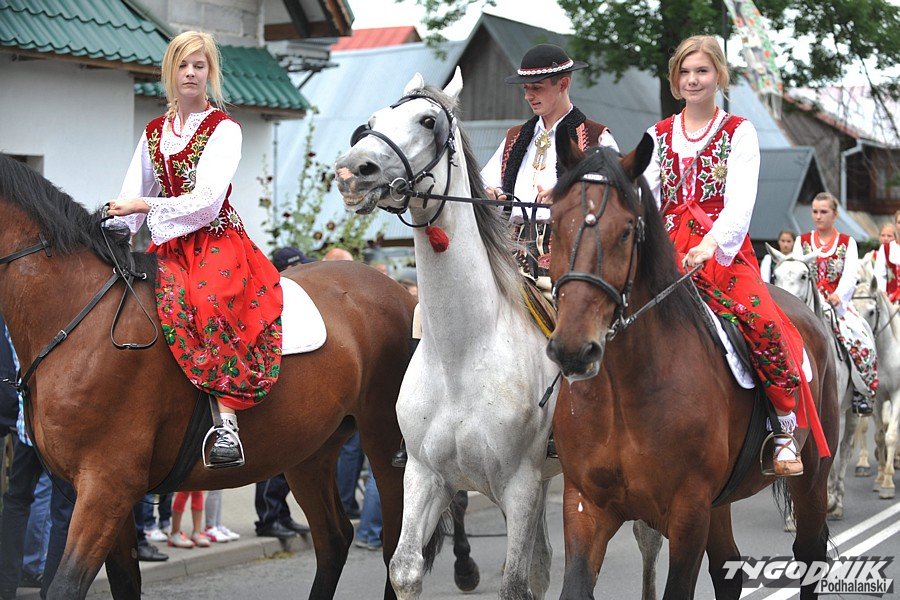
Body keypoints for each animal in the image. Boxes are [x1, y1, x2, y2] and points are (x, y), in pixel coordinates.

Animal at [0, 154, 418, 600]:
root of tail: (398, 292)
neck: (80, 320)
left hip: (383, 442)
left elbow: (66, 585)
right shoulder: (103, 495)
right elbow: (124, 580)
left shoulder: (107, 486)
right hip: (309, 451)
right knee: (334, 539)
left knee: (396, 546)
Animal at [333, 70, 663, 600]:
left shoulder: (520, 484)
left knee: (646, 540)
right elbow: (405, 568)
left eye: (428, 121)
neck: (462, 354)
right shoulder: (425, 476)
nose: (352, 172)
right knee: (546, 562)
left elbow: (515, 583)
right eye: (373, 120)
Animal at [545, 139, 838, 599]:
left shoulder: (688, 514)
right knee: (728, 568)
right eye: (555, 224)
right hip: (720, 502)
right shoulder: (585, 507)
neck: (623, 395)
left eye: (626, 231)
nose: (574, 349)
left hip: (810, 478)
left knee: (810, 553)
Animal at [767, 247, 858, 520]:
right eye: (775, 274)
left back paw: (836, 499)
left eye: (804, 275)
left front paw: (828, 501)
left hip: (851, 413)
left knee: (845, 450)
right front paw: (791, 517)